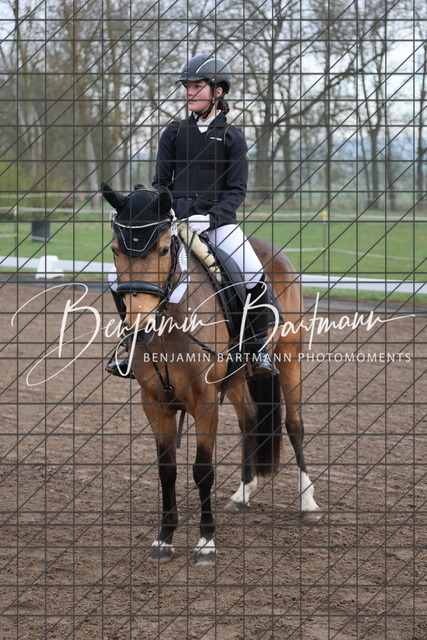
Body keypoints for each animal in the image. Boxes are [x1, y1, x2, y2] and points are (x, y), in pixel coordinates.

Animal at [102, 183, 321, 567]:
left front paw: (206, 543)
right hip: (235, 378)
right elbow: (167, 470)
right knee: (250, 418)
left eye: (163, 248)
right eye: (115, 250)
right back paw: (243, 493)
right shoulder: (154, 402)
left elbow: (202, 470)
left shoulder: (204, 401)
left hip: (289, 358)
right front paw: (164, 539)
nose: (139, 326)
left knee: (294, 424)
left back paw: (308, 503)